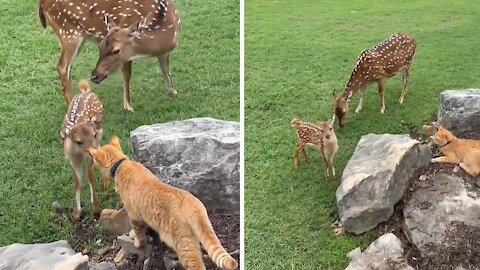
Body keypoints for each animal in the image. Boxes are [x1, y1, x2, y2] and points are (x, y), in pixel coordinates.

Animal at [38, 0, 181, 110]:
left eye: (116, 50)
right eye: (100, 46)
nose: (94, 76)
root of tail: (42, 4)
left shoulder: (163, 52)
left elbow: (165, 68)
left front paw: (173, 92)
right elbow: (127, 74)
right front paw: (128, 107)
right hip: (68, 31)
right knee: (62, 66)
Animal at [60, 79, 104, 220]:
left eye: (93, 135)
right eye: (79, 141)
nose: (94, 151)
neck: (79, 154)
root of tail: (86, 90)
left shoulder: (89, 157)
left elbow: (90, 177)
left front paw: (96, 210)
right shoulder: (72, 161)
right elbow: (78, 183)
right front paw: (76, 213)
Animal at [88, 137, 238, 270]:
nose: (91, 162)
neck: (121, 164)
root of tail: (192, 204)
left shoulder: (134, 215)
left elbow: (139, 234)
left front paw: (136, 241)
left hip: (184, 246)